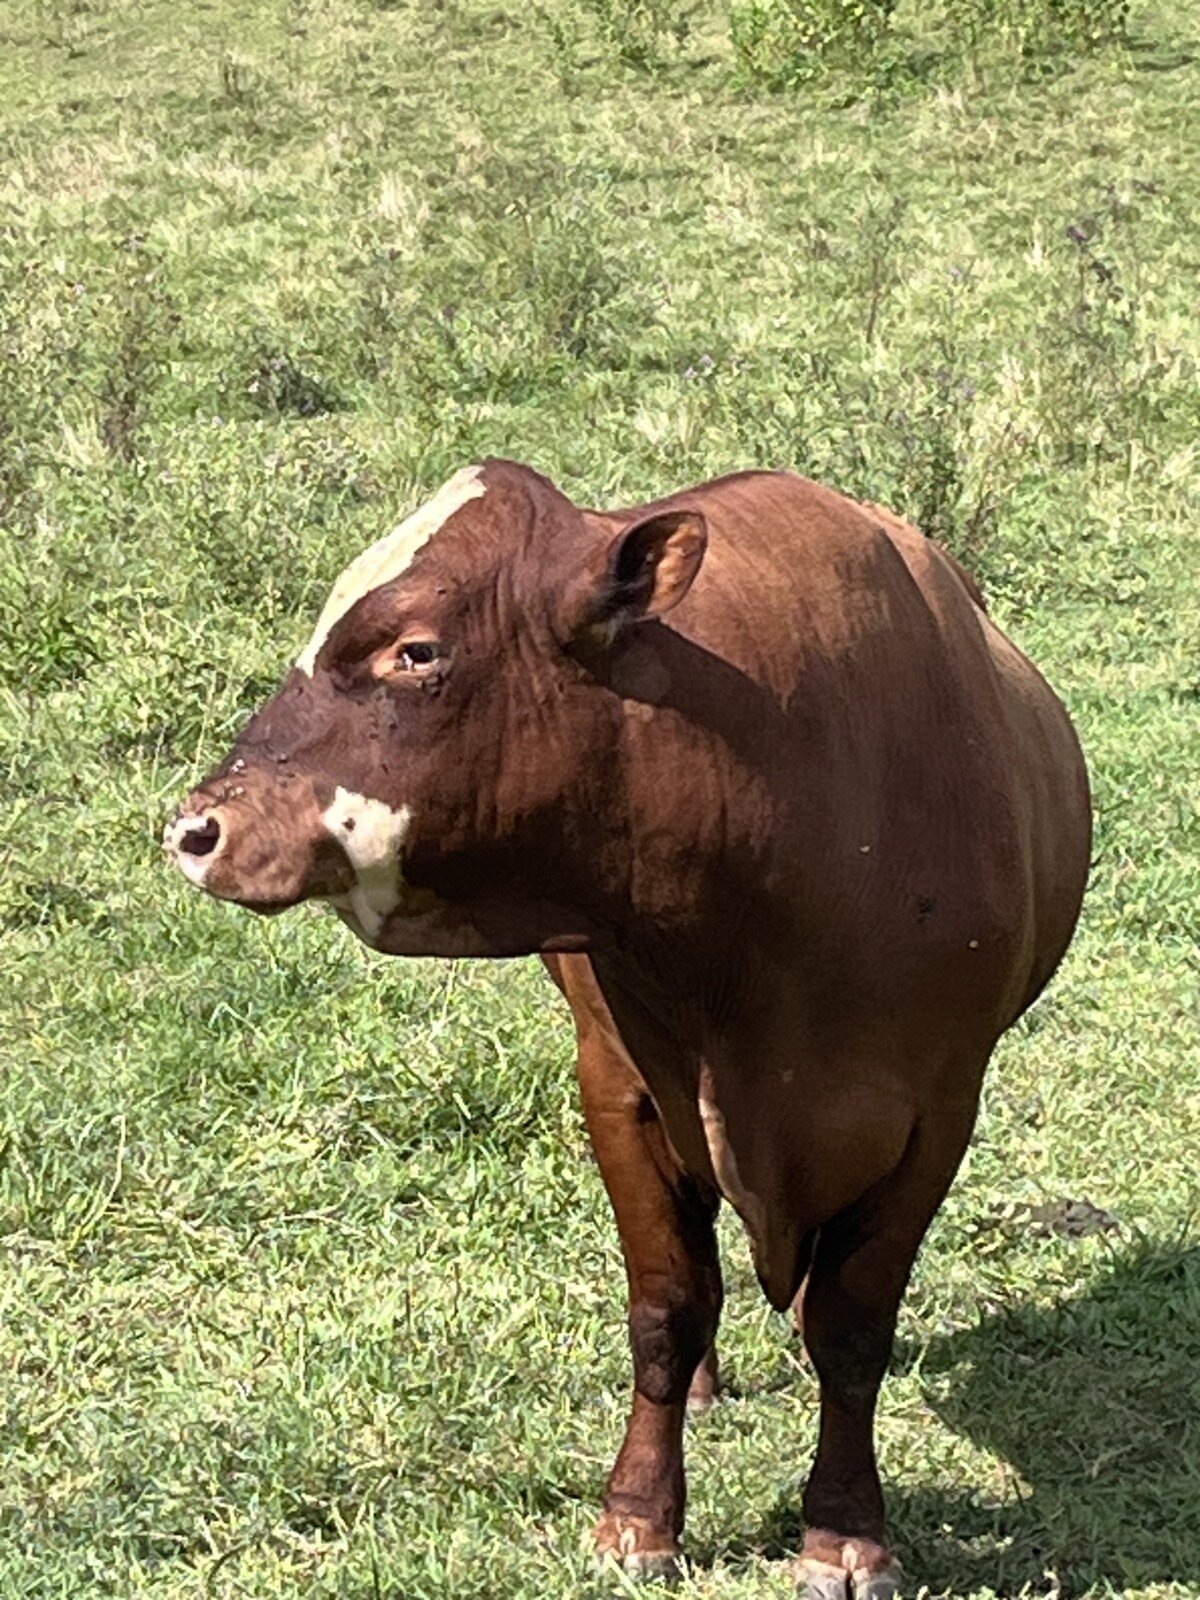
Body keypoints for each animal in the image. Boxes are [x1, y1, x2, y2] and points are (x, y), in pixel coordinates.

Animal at [165, 460, 1091, 1597]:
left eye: (415, 650)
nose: (197, 828)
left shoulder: (938, 1114)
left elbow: (852, 1326)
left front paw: (844, 1531)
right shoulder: (621, 1088)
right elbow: (667, 1305)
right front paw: (640, 1515)